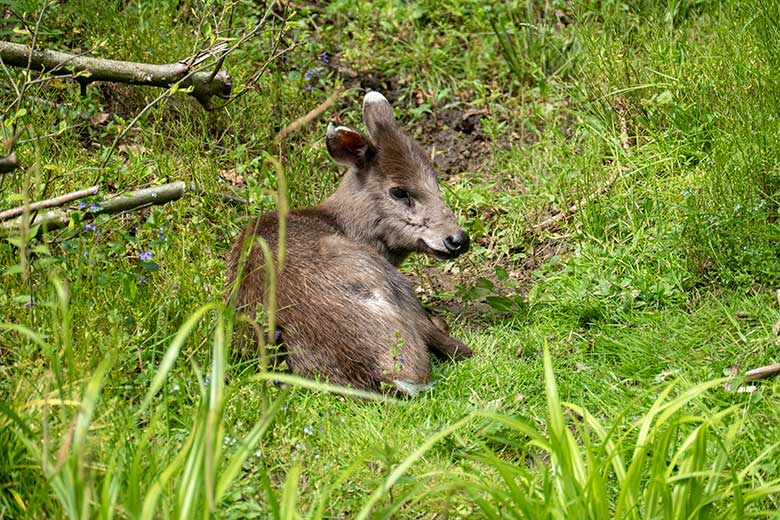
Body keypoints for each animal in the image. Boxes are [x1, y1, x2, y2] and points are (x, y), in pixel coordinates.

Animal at [224, 91, 470, 396]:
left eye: (436, 181)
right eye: (399, 191)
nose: (458, 239)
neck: (344, 224)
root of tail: (386, 376)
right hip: (386, 279)